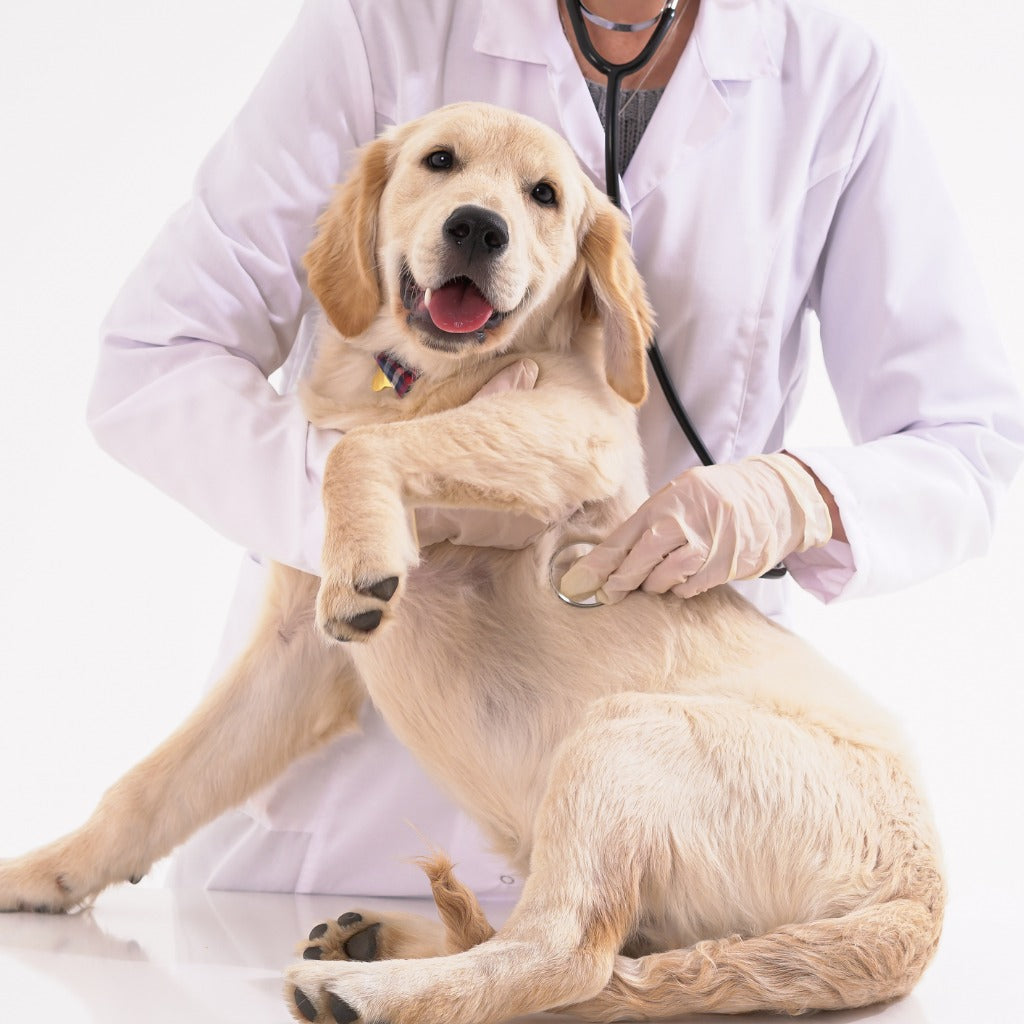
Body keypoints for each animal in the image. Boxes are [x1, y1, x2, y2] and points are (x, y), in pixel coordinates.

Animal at [0, 97, 942, 1024]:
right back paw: (368, 937)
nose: (478, 229)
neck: (421, 381)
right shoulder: (295, 660)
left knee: (565, 952)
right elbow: (152, 785)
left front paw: (370, 542)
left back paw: (365, 989)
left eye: (545, 195)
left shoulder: (581, 429)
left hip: (621, 739)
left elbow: (362, 452)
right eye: (440, 161)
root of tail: (921, 900)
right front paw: (45, 872)